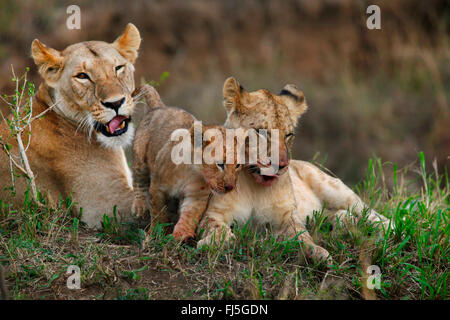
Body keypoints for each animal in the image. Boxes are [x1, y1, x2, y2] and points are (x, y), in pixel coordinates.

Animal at [132, 94, 243, 241]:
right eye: (220, 164)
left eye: (238, 165)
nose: (230, 187)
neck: (191, 171)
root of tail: (160, 107)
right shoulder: (157, 187)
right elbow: (158, 212)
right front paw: (157, 232)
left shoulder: (196, 196)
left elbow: (190, 216)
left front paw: (181, 235)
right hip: (140, 159)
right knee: (139, 180)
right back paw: (140, 207)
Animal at [197, 78, 390, 264]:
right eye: (262, 132)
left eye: (288, 135)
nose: (282, 165)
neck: (254, 186)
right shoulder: (213, 213)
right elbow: (216, 228)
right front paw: (212, 242)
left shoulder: (286, 216)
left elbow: (302, 235)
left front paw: (318, 254)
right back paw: (343, 221)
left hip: (333, 188)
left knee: (372, 213)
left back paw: (383, 231)